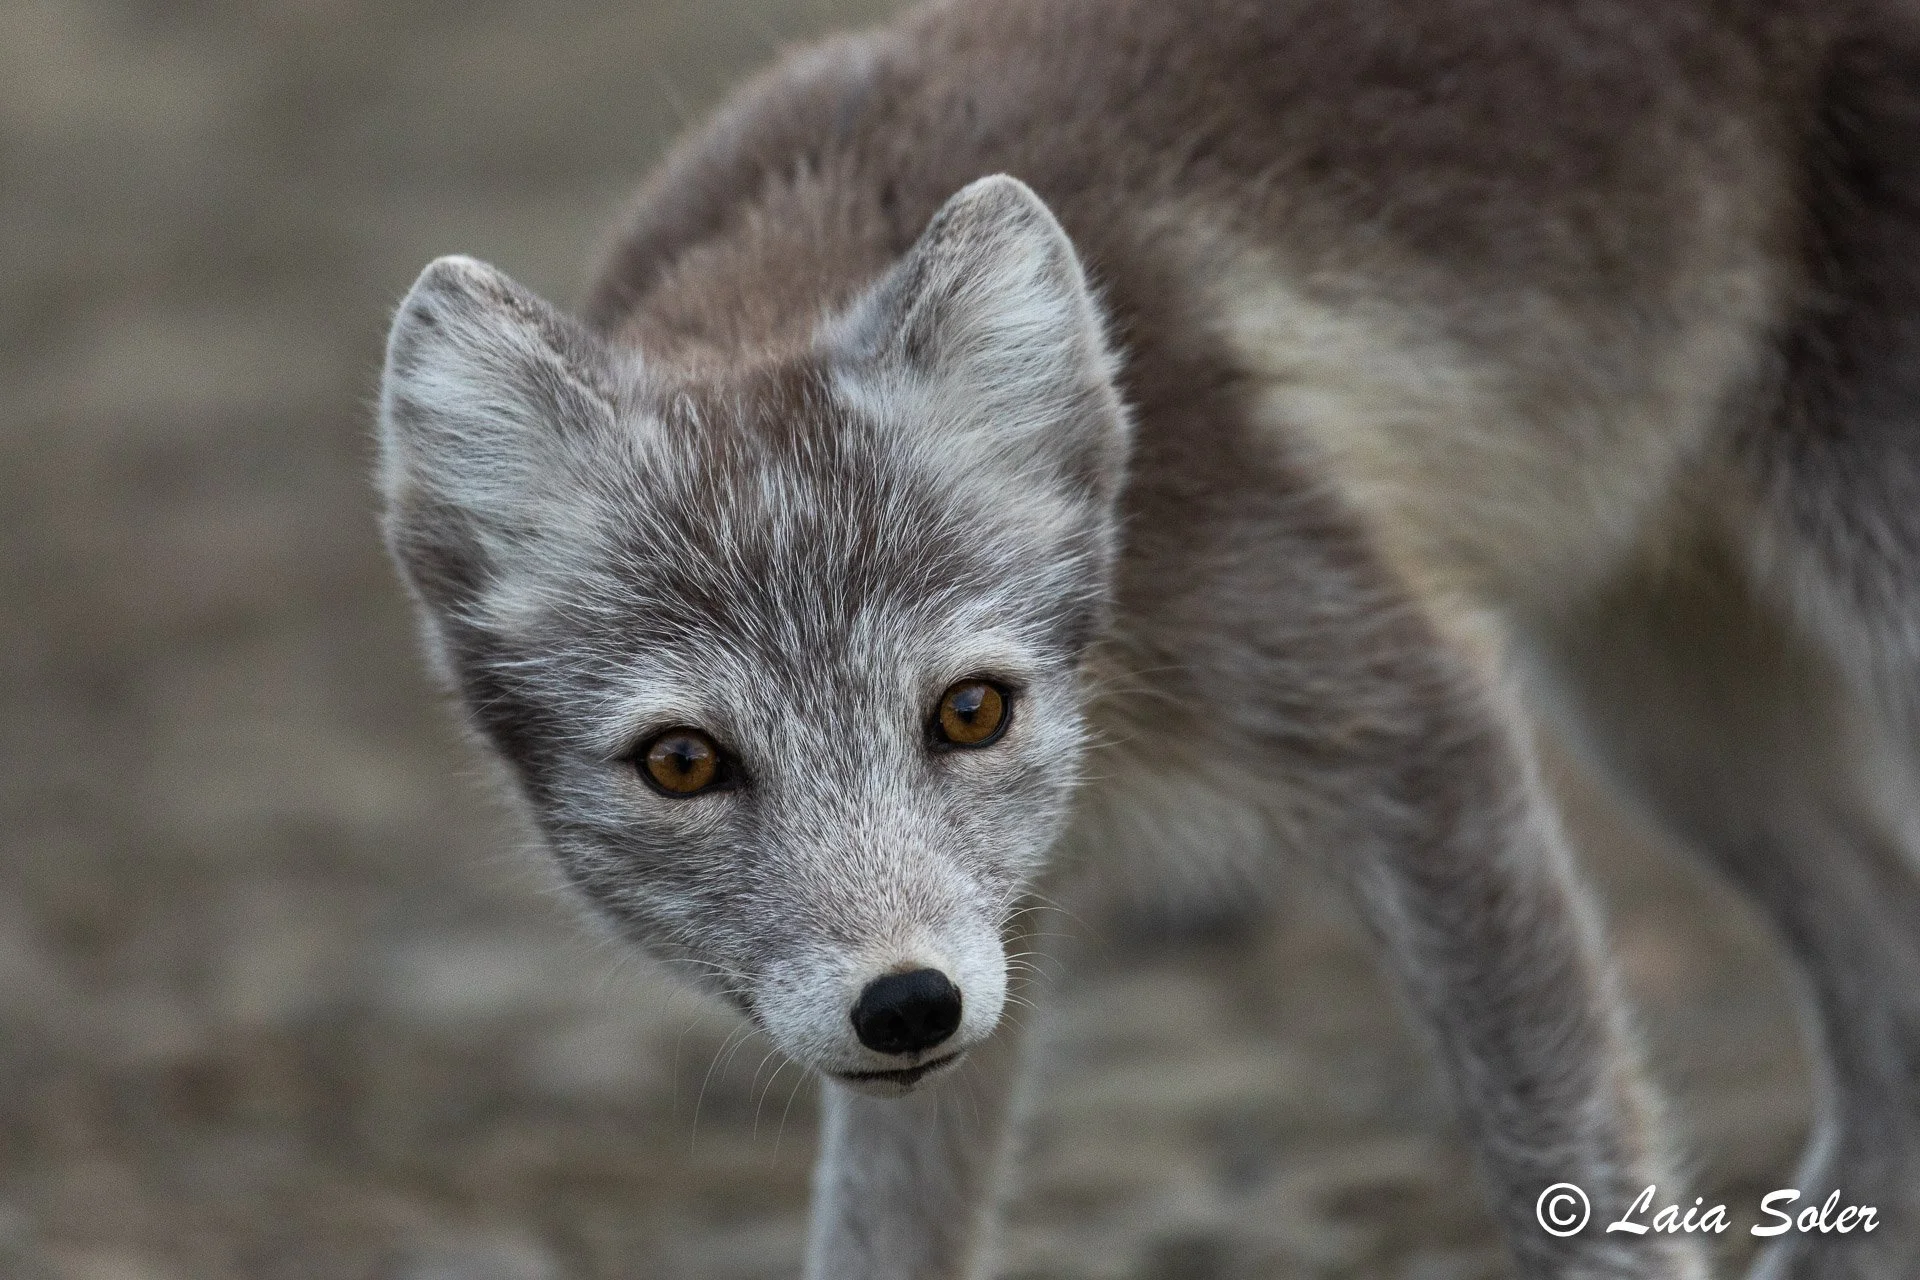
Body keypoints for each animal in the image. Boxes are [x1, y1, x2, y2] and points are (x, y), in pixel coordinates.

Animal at [373, 0, 1920, 1275]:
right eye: (684, 763)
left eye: (970, 710)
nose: (905, 1006)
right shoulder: (1001, 935)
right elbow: (882, 1237)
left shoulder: (1411, 722)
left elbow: (1571, 1166)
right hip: (1662, 712)